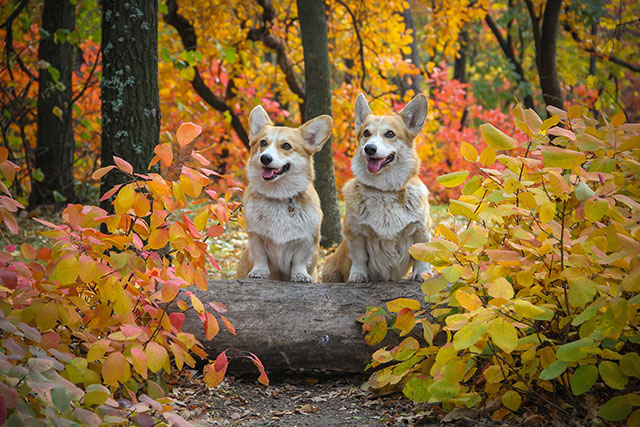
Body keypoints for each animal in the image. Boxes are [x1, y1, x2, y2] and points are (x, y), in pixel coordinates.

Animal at [238, 105, 332, 282]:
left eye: (286, 146)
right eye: (263, 143)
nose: (265, 158)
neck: (278, 196)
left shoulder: (306, 240)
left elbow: (299, 260)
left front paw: (300, 275)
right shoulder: (256, 237)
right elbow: (260, 256)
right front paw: (259, 272)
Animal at [322, 93, 432, 284]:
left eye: (390, 134)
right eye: (366, 133)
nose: (369, 148)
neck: (384, 191)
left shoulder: (421, 229)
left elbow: (421, 255)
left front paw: (423, 274)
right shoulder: (355, 233)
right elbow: (359, 258)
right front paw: (358, 276)